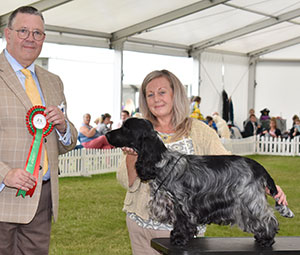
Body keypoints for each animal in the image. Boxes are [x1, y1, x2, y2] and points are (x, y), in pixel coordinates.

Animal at [105, 117, 292, 247]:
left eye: (126, 127)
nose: (106, 134)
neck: (161, 161)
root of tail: (259, 166)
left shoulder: (181, 203)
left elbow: (182, 222)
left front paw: (179, 239)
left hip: (249, 199)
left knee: (267, 218)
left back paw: (266, 239)